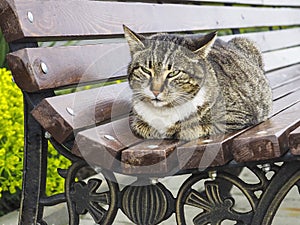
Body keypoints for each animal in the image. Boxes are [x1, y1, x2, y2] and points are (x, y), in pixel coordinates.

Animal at [123, 25, 274, 141]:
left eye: (174, 73)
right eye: (145, 70)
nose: (155, 91)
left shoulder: (236, 116)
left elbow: (191, 128)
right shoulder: (137, 121)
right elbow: (143, 128)